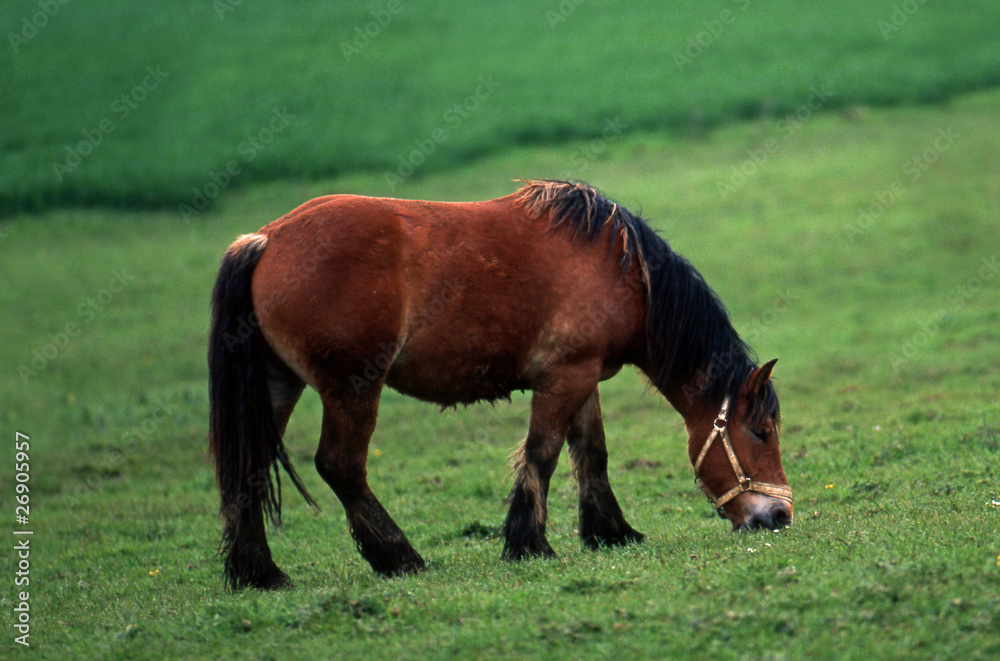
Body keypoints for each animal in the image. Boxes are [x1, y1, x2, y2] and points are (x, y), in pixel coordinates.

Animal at [208, 180, 792, 590]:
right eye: (760, 431)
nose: (780, 515)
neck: (624, 269)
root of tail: (265, 240)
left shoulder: (584, 376)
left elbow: (592, 452)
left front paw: (611, 532)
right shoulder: (564, 376)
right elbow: (544, 452)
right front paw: (528, 543)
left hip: (279, 384)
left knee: (248, 469)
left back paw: (260, 572)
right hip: (352, 388)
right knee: (340, 466)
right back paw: (399, 557)